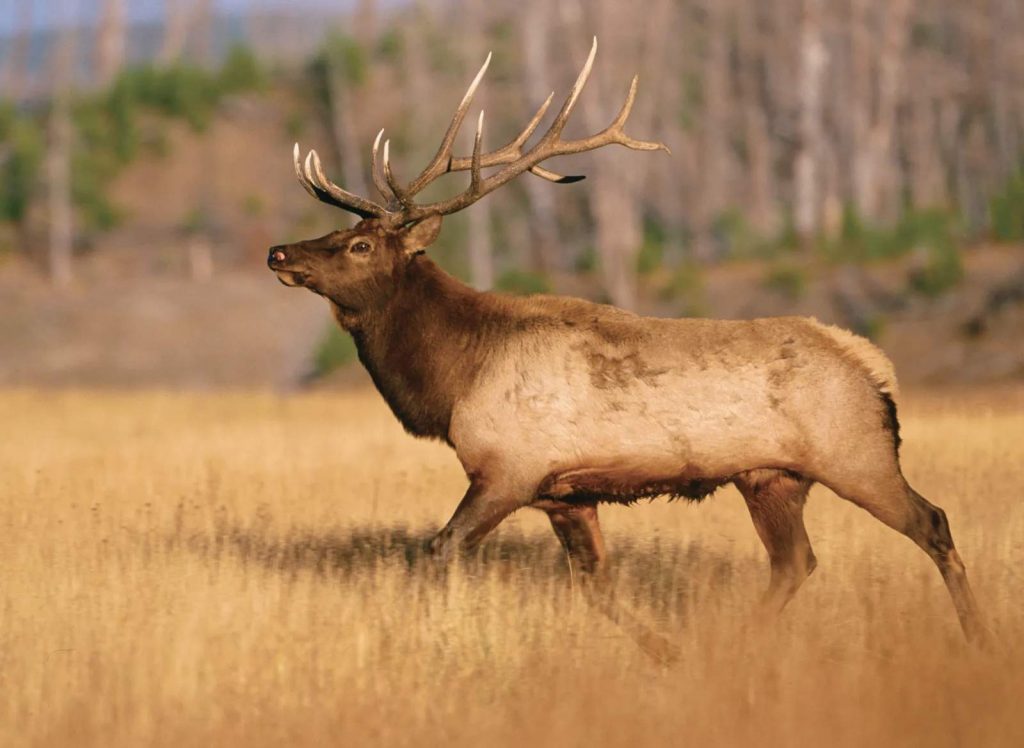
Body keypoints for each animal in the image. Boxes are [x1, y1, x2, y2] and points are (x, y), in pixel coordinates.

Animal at [268, 39, 987, 639]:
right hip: (771, 478)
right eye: (338, 233)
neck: (452, 378)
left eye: (359, 245)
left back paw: (980, 639)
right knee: (796, 562)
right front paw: (663, 652)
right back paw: (735, 647)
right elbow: (597, 586)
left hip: (856, 453)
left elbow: (440, 550)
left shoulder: (509, 469)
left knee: (932, 522)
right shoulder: (564, 494)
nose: (279, 252)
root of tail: (876, 367)